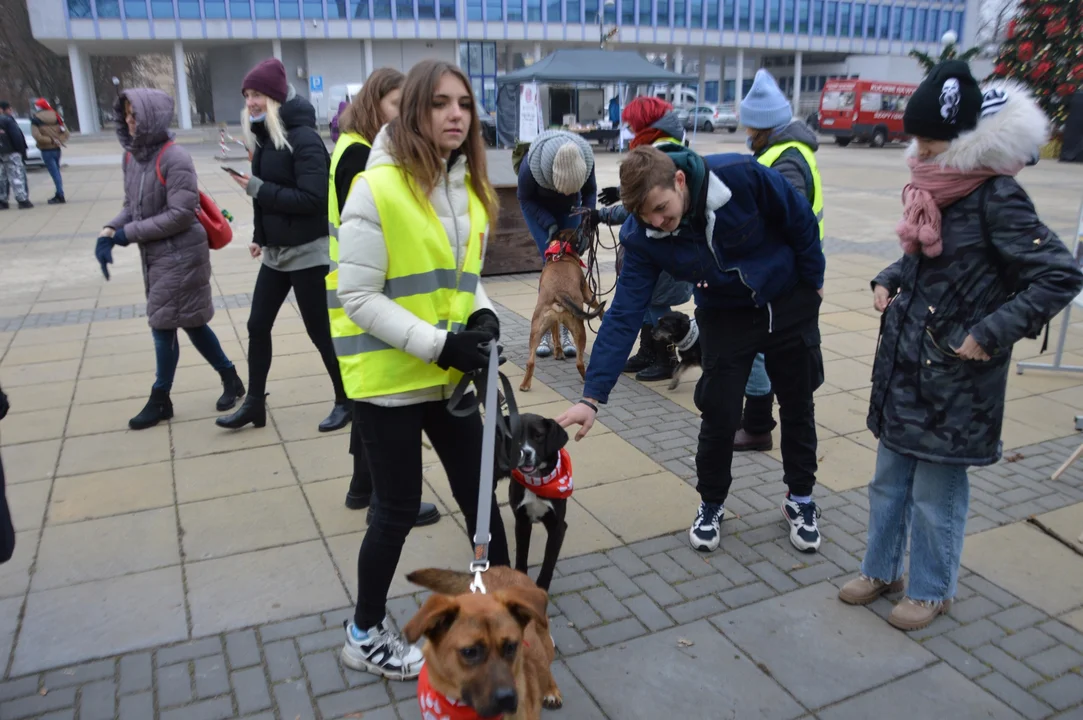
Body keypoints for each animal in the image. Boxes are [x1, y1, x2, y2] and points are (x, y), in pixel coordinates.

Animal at [402, 567, 563, 718]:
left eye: (511, 646)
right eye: (469, 652)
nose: (507, 698)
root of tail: (500, 568)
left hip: (545, 643)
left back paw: (551, 689)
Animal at [500, 409, 576, 588]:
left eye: (539, 435)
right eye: (515, 435)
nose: (525, 453)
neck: (537, 481)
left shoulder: (558, 527)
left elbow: (548, 563)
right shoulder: (522, 521)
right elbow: (521, 556)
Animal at [519, 228, 606, 389]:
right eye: (581, 234)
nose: (588, 235)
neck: (562, 253)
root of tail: (559, 294)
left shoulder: (553, 322)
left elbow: (555, 333)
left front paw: (558, 351)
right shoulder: (587, 292)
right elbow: (597, 305)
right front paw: (603, 314)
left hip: (536, 330)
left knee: (530, 362)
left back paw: (525, 385)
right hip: (580, 330)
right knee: (579, 363)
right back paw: (586, 379)